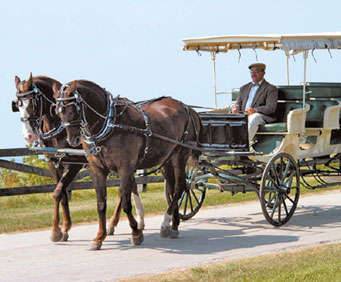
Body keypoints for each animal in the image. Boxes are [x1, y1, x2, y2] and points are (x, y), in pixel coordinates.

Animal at [11, 74, 144, 242]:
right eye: (18, 104)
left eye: (33, 102)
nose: (28, 136)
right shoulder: (54, 163)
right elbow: (61, 194)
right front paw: (63, 228)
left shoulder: (75, 165)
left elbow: (58, 192)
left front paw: (57, 231)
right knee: (130, 187)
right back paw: (129, 223)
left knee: (124, 191)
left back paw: (125, 223)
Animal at [52, 80, 201, 250]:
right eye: (58, 111)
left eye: (74, 109)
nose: (73, 140)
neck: (110, 124)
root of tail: (186, 107)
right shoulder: (97, 170)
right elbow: (101, 204)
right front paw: (99, 237)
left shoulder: (125, 168)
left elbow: (125, 202)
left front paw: (136, 233)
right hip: (167, 159)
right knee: (171, 188)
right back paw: (174, 225)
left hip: (180, 155)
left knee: (179, 187)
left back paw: (165, 224)